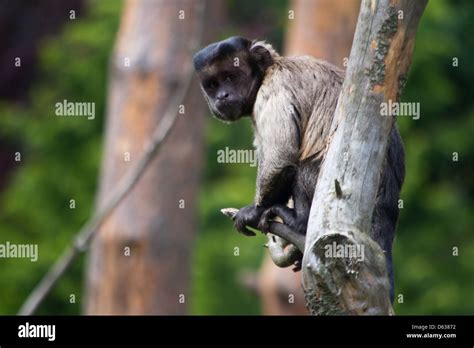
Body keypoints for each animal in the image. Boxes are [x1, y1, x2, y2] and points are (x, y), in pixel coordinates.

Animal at [193, 36, 404, 302]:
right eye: (213, 84)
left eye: (230, 77)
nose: (222, 95)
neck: (270, 70)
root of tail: (387, 205)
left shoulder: (273, 89)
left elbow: (282, 158)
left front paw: (254, 211)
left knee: (303, 168)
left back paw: (299, 222)